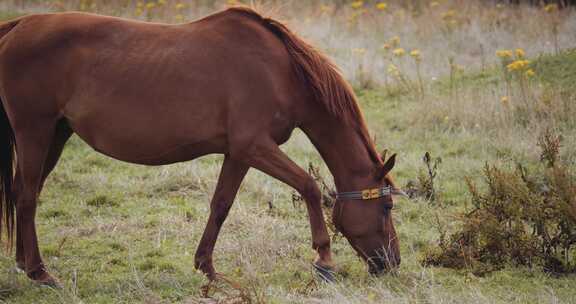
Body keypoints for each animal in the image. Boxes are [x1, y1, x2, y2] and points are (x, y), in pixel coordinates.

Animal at [0, 8, 402, 286]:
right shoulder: (255, 146)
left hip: (55, 134)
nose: (392, 263)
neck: (281, 70)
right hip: (35, 131)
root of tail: (18, 26)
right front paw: (324, 261)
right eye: (385, 207)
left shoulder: (238, 154)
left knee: (24, 192)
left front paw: (207, 268)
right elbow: (309, 186)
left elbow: (220, 205)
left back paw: (23, 263)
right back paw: (40, 272)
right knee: (27, 197)